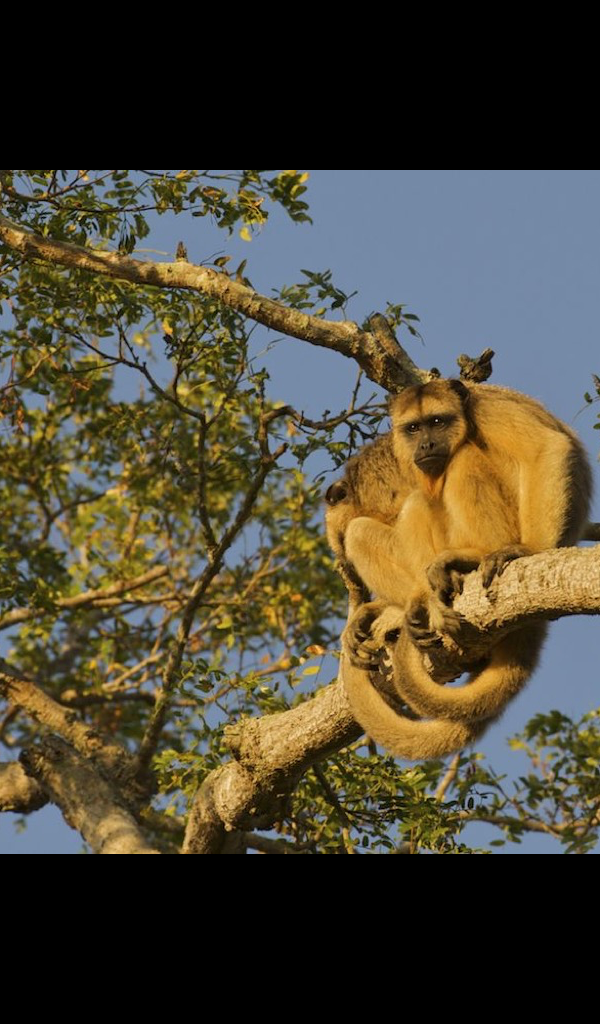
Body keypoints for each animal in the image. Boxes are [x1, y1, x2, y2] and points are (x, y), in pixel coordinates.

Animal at [342, 379, 592, 732]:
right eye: (413, 428)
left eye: (437, 422)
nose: (426, 444)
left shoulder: (489, 411)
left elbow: (546, 448)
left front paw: (528, 550)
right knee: (369, 527)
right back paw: (407, 605)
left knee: (464, 459)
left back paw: (473, 558)